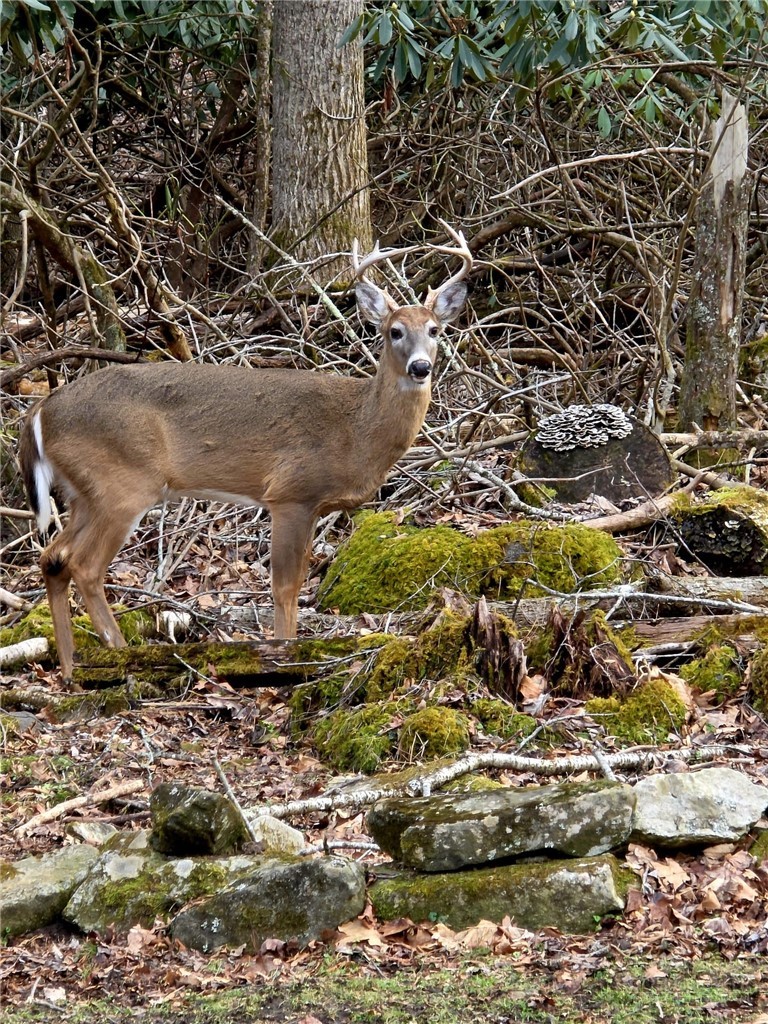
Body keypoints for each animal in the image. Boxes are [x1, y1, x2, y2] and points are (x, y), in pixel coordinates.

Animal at [20, 223, 472, 679]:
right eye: (394, 331)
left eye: (435, 330)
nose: (420, 367)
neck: (355, 431)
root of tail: (41, 410)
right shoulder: (291, 492)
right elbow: (285, 587)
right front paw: (286, 659)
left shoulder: (313, 504)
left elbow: (297, 582)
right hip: (122, 485)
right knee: (84, 566)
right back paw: (119, 654)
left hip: (84, 492)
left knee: (52, 557)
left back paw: (71, 670)